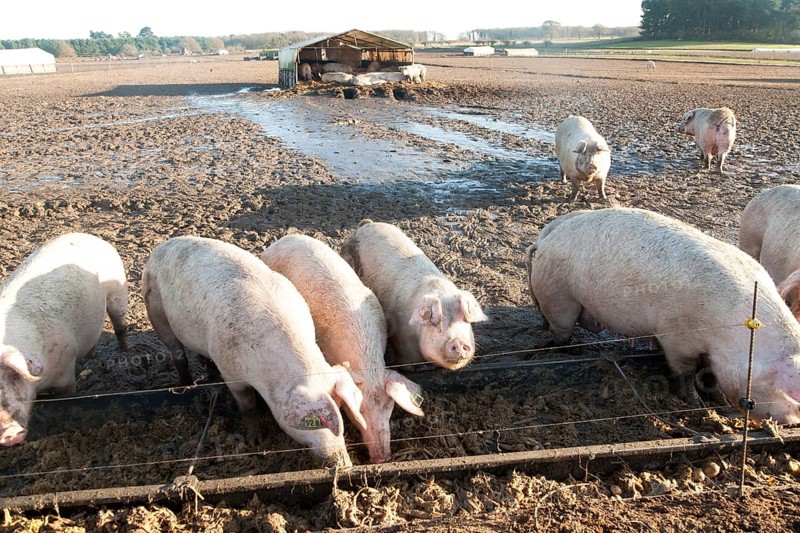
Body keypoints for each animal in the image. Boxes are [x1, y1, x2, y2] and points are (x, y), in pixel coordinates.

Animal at [0, 232, 128, 446]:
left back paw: (124, 352)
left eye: (14, 376)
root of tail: (89, 236)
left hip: (118, 291)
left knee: (119, 325)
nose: (7, 433)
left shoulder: (66, 369)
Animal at [142, 236, 366, 467]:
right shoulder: (231, 373)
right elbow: (247, 405)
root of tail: (162, 246)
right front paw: (254, 443)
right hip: (155, 308)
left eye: (341, 409)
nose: (344, 464)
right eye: (313, 422)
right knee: (177, 353)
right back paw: (186, 386)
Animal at [526, 207, 800, 424]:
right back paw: (571, 353)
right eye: (778, 383)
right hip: (559, 295)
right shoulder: (677, 336)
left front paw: (718, 403)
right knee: (561, 333)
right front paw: (695, 405)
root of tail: (546, 239)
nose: (792, 421)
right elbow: (685, 373)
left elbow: (710, 374)